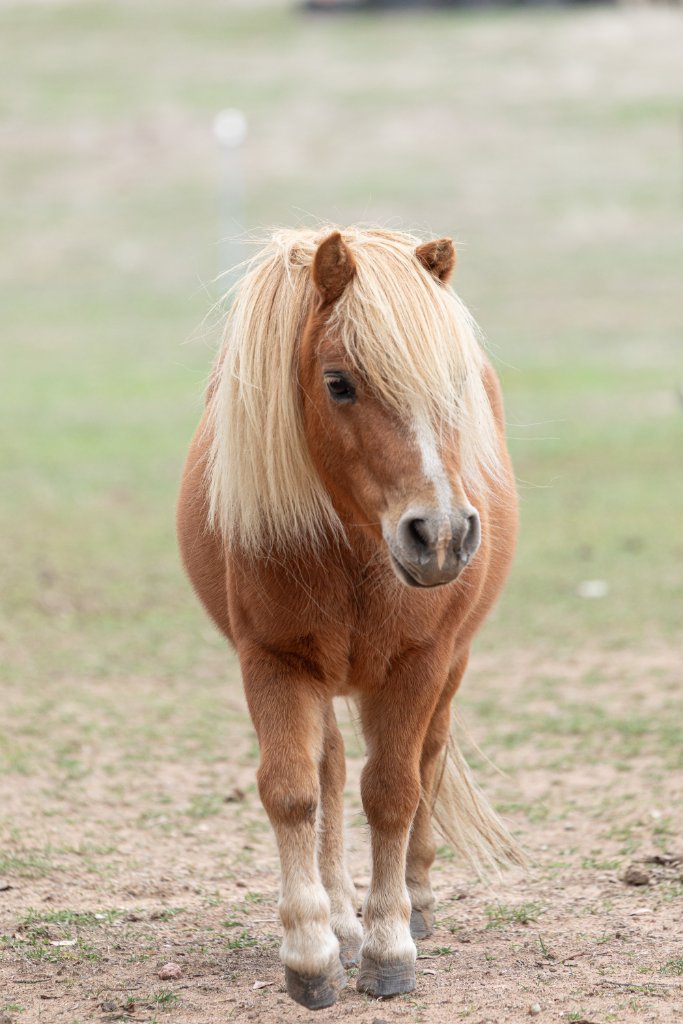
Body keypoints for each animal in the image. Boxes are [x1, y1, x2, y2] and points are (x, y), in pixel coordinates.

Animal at [176, 226, 523, 1010]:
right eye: (338, 383)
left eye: (453, 384)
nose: (442, 535)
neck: (351, 551)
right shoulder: (274, 661)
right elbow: (294, 791)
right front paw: (311, 952)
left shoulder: (418, 663)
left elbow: (394, 792)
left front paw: (390, 946)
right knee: (330, 771)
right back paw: (340, 914)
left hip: (447, 667)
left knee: (426, 762)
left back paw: (417, 903)